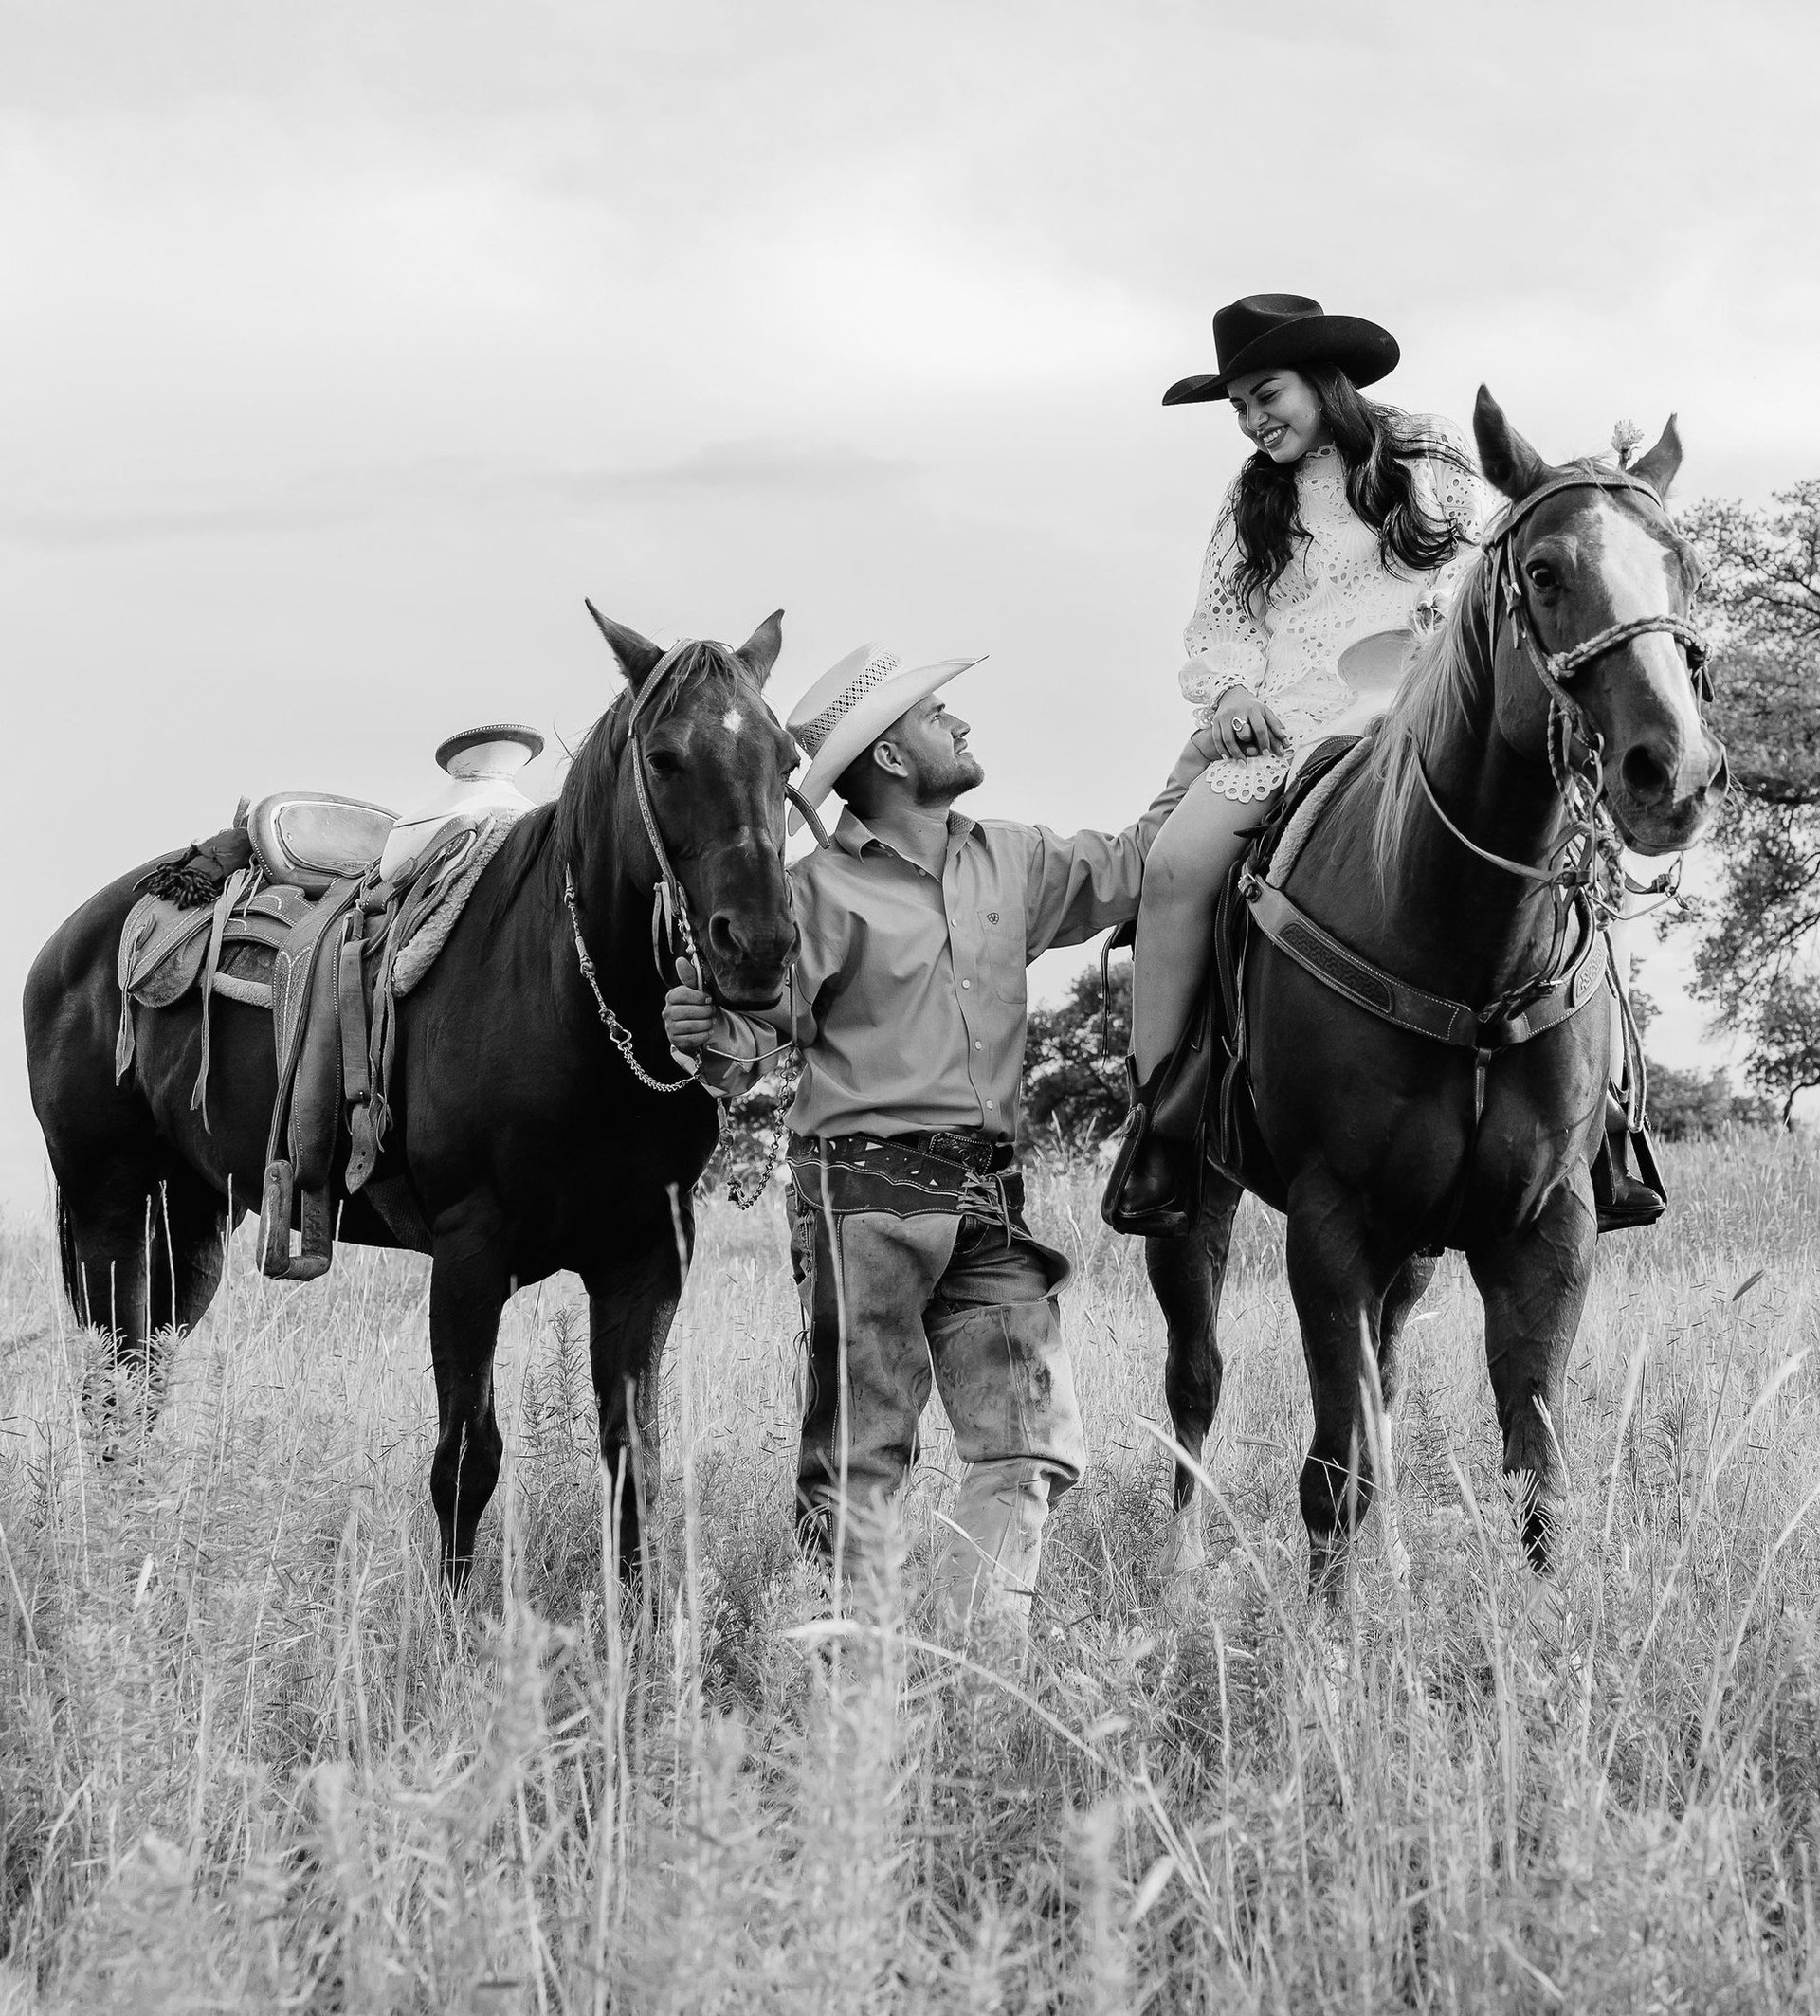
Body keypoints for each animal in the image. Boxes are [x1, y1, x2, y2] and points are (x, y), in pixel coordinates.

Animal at [23, 610, 801, 1586]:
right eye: (664, 757)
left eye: (788, 758)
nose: (759, 947)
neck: (564, 1000)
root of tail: (69, 943)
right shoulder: (470, 1254)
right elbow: (468, 1457)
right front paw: (455, 1621)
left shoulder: (646, 1260)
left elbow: (636, 1461)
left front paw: (644, 1624)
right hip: (109, 1206)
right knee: (113, 1381)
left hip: (194, 1216)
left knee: (147, 1371)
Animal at [1149, 388, 1727, 1594]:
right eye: (1545, 571)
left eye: (1681, 564)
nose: (1675, 776)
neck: (1468, 951)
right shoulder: (1327, 1223)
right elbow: (1329, 1472)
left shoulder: (1549, 1229)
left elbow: (1540, 1478)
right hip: (1194, 1207)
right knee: (1196, 1376)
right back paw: (1179, 1572)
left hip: (1414, 1247)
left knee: (1390, 1365)